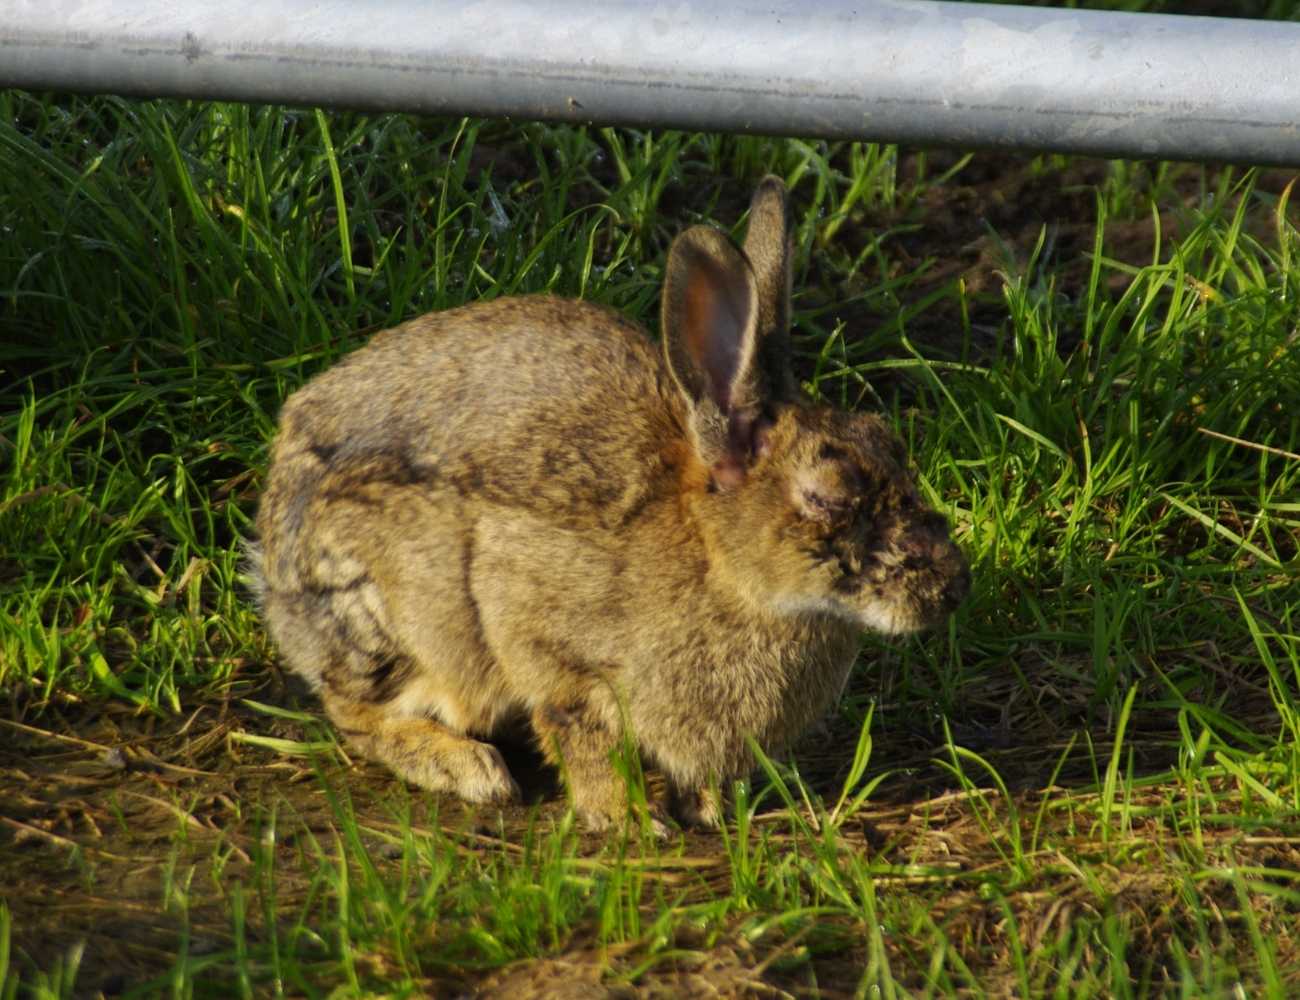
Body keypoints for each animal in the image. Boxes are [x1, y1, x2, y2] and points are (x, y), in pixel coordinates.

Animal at [251, 176, 969, 832]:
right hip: (386, 615)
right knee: (354, 712)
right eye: (827, 496)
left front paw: (708, 809)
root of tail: (272, 559)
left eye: (888, 440)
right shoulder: (551, 646)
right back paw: (467, 768)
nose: (950, 588)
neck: (722, 563)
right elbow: (579, 731)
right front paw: (628, 821)